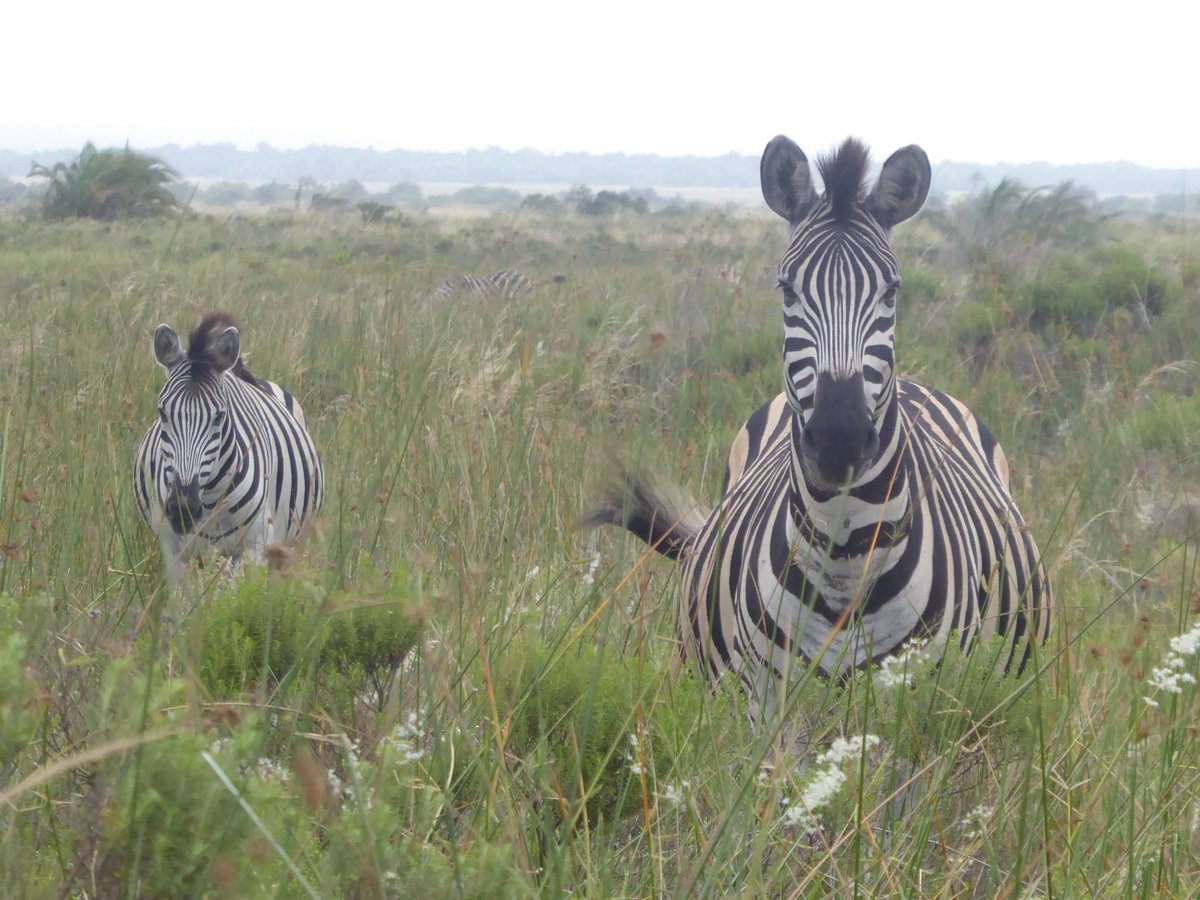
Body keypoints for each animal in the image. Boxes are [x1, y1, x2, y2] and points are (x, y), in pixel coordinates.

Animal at [133, 312, 324, 574]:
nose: (184, 510)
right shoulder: (173, 551)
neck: (210, 498)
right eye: (162, 413)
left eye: (219, 416)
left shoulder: (255, 545)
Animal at [584, 136, 1051, 714]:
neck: (844, 554)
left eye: (892, 291)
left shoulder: (922, 708)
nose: (838, 438)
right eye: (787, 289)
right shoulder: (763, 706)